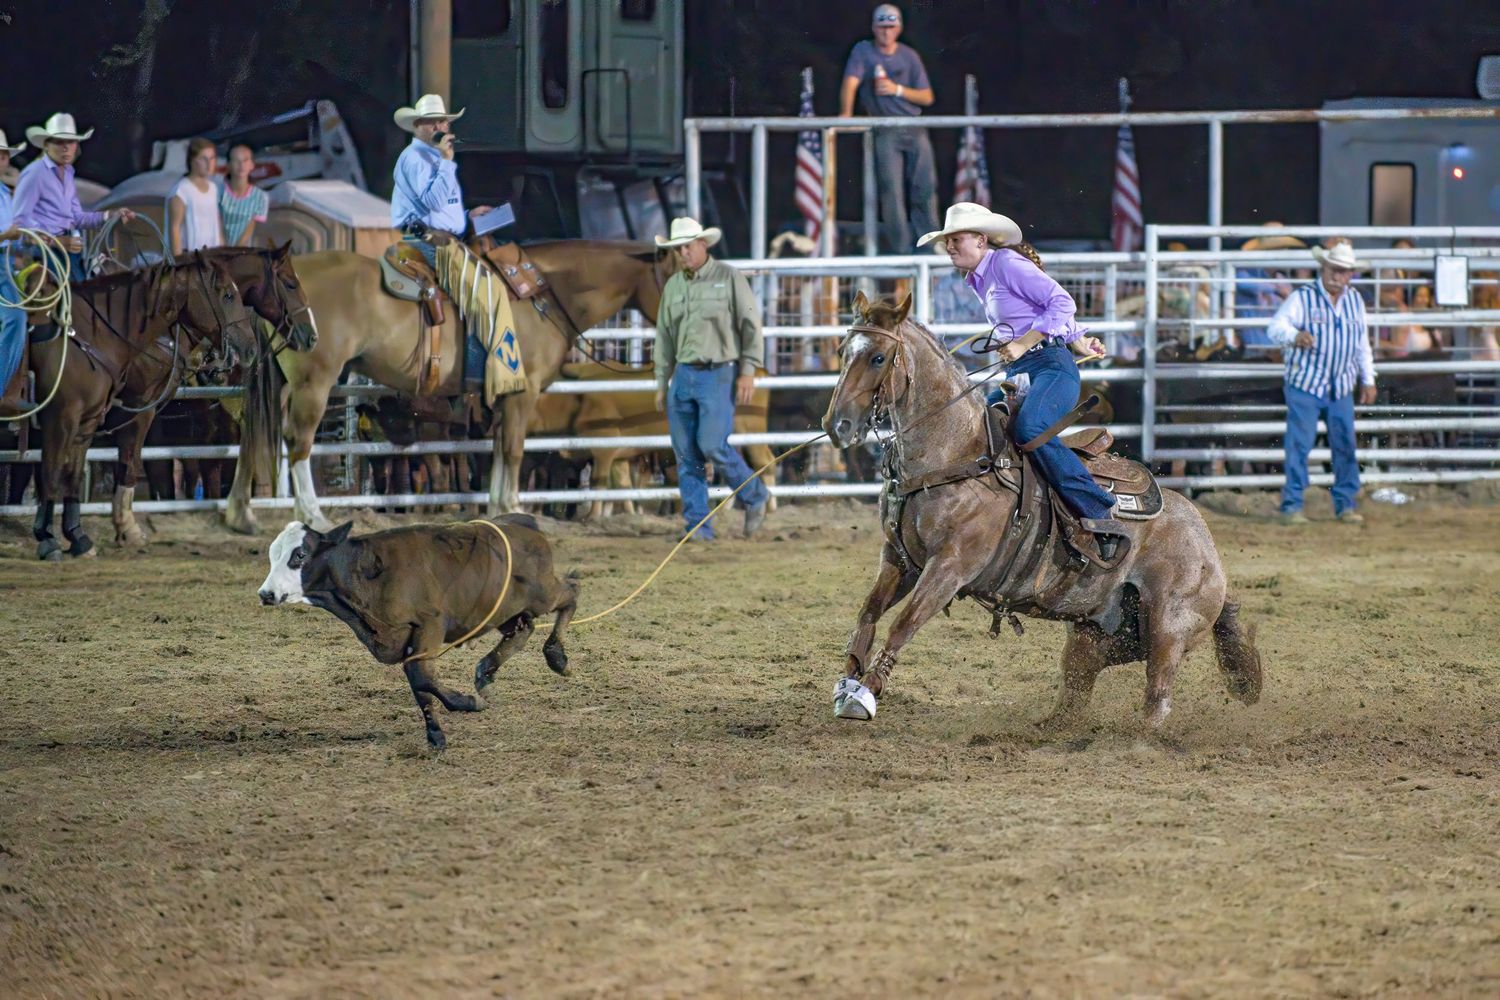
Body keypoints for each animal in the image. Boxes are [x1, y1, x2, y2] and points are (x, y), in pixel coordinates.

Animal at [257, 514, 579, 749]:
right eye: (273, 555)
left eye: (299, 555)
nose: (265, 594)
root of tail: (525, 523)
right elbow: (419, 683)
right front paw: (436, 734)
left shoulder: (429, 626)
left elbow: (420, 676)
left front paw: (467, 704)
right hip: (505, 610)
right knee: (523, 629)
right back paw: (485, 674)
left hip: (542, 593)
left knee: (571, 591)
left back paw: (557, 656)